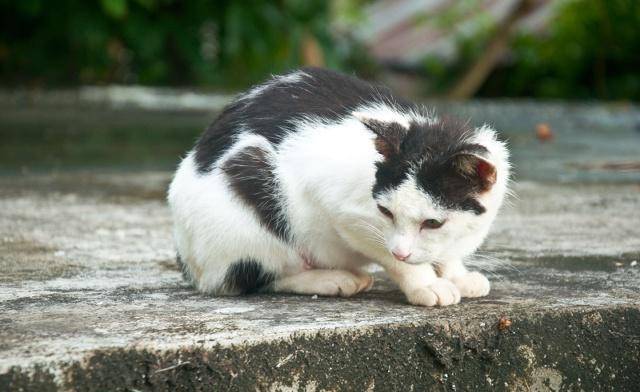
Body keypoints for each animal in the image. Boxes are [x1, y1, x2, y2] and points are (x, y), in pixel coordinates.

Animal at [166, 66, 510, 306]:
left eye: (433, 223)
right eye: (385, 213)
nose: (401, 252)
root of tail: (187, 260)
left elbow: (445, 252)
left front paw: (457, 274)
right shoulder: (346, 214)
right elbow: (384, 250)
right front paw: (425, 283)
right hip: (248, 180)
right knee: (253, 278)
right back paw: (331, 279)